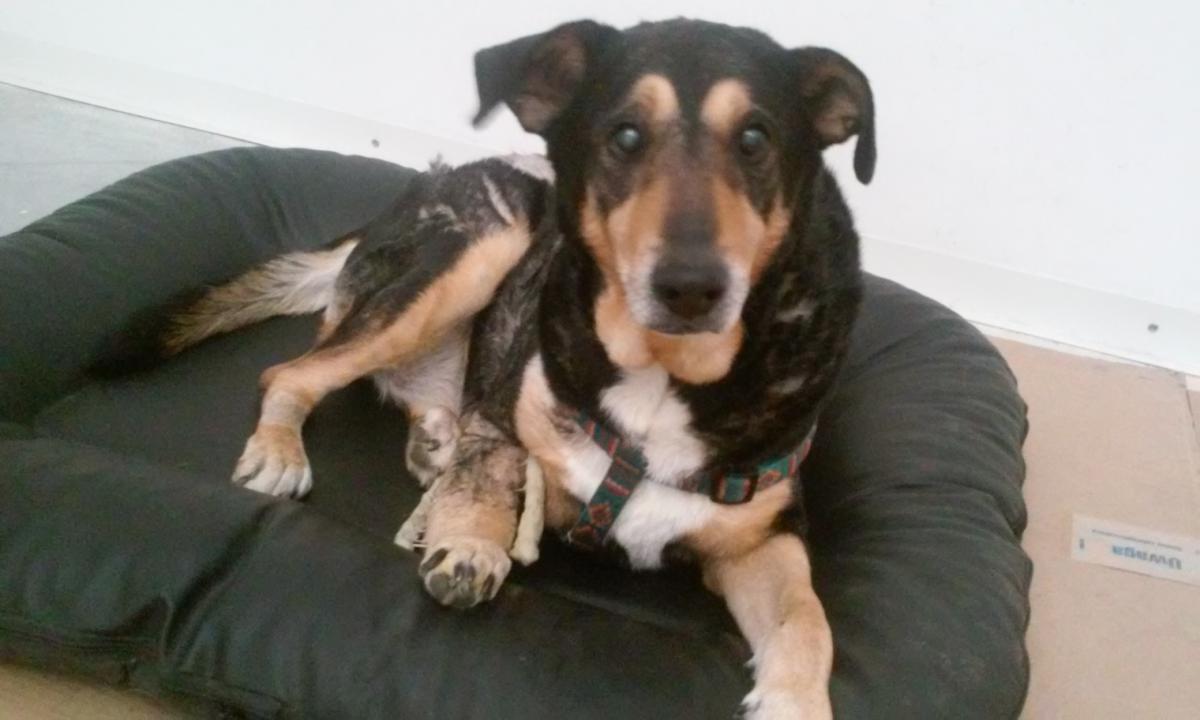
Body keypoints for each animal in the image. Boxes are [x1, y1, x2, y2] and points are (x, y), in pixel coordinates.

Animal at [122, 18, 875, 719]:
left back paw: (429, 442)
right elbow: (487, 474)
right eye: (625, 137)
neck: (662, 376)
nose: (691, 287)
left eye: (755, 141)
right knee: (294, 371)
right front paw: (468, 545)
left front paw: (795, 701)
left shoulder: (763, 541)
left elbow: (808, 618)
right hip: (483, 249)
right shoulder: (506, 418)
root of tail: (414, 192)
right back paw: (286, 451)